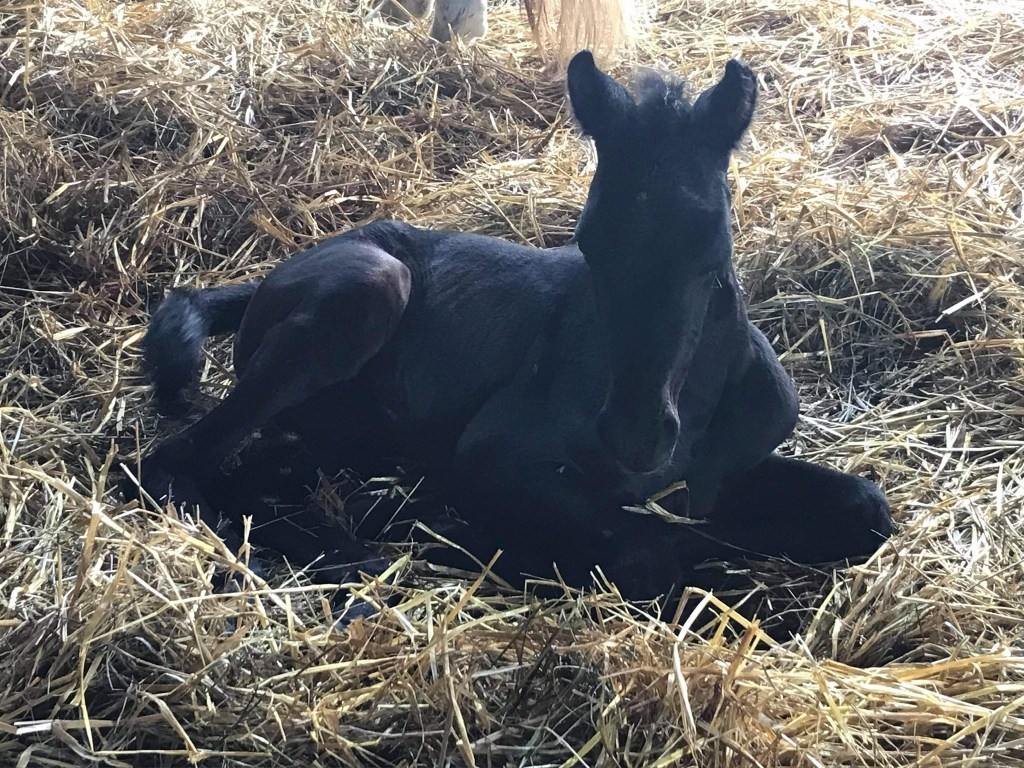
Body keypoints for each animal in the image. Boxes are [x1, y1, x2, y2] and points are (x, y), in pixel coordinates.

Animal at [128, 51, 894, 601]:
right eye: (589, 240)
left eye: (714, 241)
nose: (635, 437)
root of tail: (272, 277)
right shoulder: (492, 455)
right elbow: (646, 554)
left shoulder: (721, 475)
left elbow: (865, 508)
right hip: (369, 288)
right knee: (173, 465)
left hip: (333, 437)